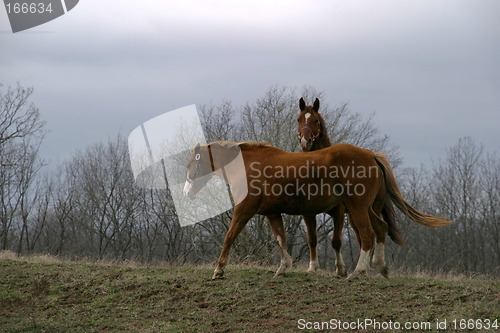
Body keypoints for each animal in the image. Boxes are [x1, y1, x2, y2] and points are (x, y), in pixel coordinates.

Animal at [184, 139, 454, 278]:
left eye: (190, 164)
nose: (186, 193)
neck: (248, 166)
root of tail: (370, 155)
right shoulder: (272, 213)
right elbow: (280, 239)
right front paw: (283, 268)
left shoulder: (244, 211)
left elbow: (230, 236)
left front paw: (219, 269)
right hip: (366, 209)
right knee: (380, 228)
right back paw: (380, 267)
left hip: (356, 209)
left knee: (367, 235)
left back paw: (358, 271)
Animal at [296, 97, 406, 276]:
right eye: (299, 119)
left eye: (316, 121)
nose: (305, 141)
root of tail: (373, 157)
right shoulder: (308, 213)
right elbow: (312, 239)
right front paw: (312, 267)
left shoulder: (339, 213)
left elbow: (336, 241)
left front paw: (340, 269)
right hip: (358, 213)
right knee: (370, 233)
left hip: (365, 209)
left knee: (369, 234)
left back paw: (363, 268)